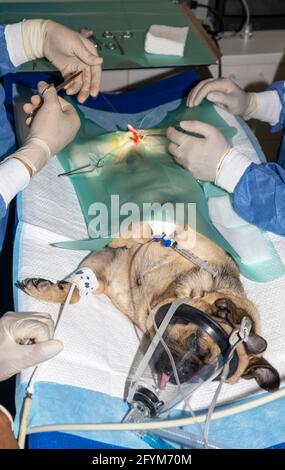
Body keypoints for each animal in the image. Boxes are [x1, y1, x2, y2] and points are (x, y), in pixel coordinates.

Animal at [17, 222, 280, 392]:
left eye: (211, 379)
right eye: (196, 342)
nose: (183, 375)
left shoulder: (105, 266)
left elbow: (77, 290)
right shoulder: (109, 256)